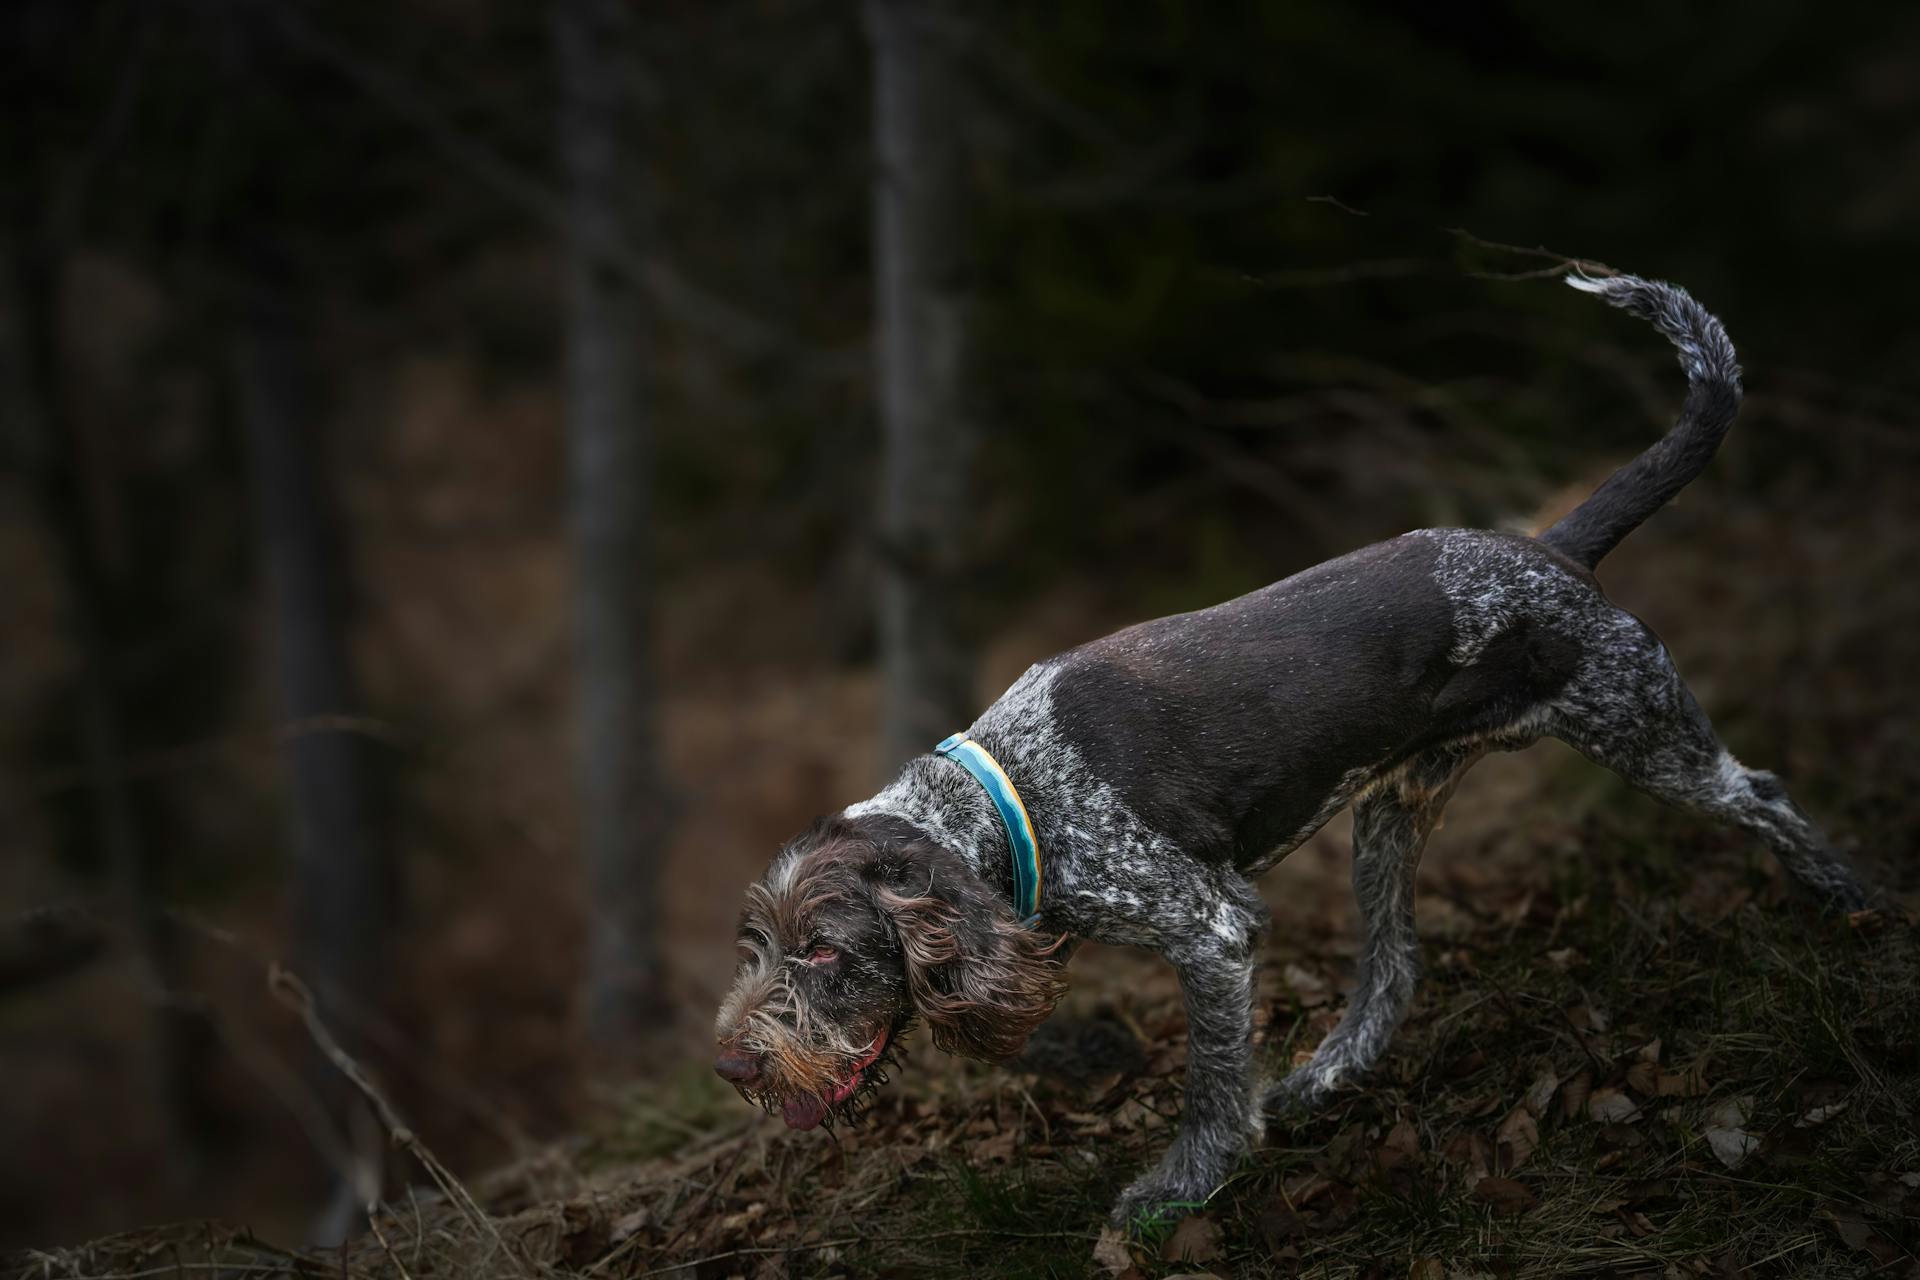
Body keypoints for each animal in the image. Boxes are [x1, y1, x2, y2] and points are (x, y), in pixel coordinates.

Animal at [714, 272, 1866, 1228]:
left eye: (826, 952)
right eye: (755, 945)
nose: (731, 1065)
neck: (1010, 800)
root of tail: (1548, 549)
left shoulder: (1211, 931)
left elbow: (1212, 1084)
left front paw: (1185, 1185)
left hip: (1640, 723)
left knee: (1761, 790)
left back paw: (1845, 898)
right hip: (1392, 811)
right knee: (1396, 964)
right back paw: (1328, 1073)